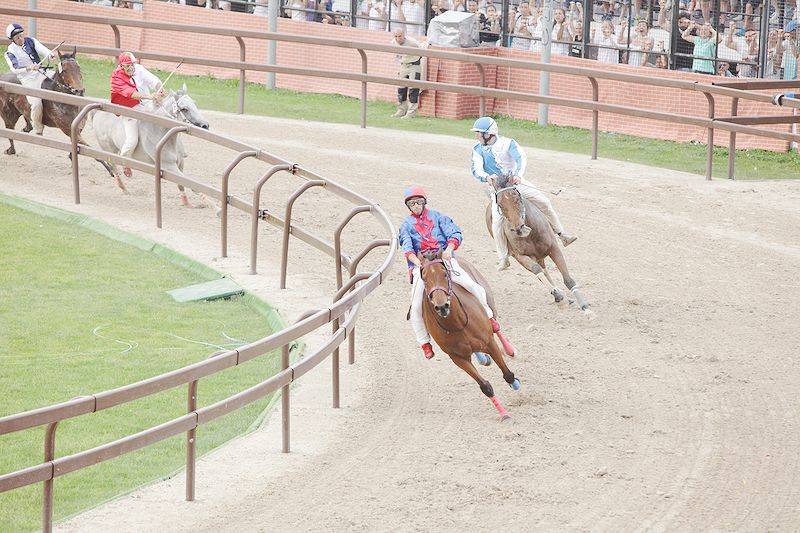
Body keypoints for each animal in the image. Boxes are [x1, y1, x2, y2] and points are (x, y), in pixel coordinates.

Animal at [416, 249, 520, 420]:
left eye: (445, 274)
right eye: (424, 278)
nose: (442, 306)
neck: (457, 323)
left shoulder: (489, 342)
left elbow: (507, 374)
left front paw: (515, 382)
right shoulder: (458, 358)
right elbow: (485, 386)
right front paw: (503, 413)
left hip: (488, 300)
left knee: (496, 326)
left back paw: (510, 350)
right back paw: (483, 358)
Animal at [484, 175, 592, 316]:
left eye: (516, 198)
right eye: (500, 205)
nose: (519, 229)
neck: (531, 234)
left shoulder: (554, 248)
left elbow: (567, 279)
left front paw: (586, 308)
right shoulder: (520, 256)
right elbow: (537, 271)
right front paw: (558, 297)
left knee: (545, 270)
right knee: (542, 271)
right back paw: (559, 296)